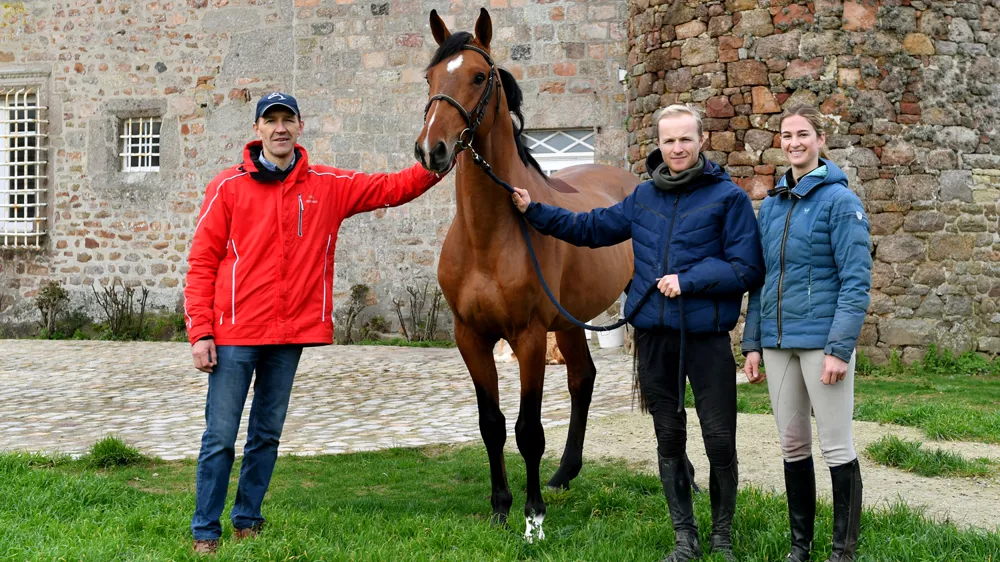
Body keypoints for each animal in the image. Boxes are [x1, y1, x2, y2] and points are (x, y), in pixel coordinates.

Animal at [414, 8, 638, 541]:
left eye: (479, 76)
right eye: (430, 77)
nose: (431, 150)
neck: (488, 236)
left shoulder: (530, 337)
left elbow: (528, 430)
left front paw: (533, 513)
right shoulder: (471, 337)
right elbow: (491, 424)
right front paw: (501, 506)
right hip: (571, 321)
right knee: (583, 379)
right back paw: (564, 474)